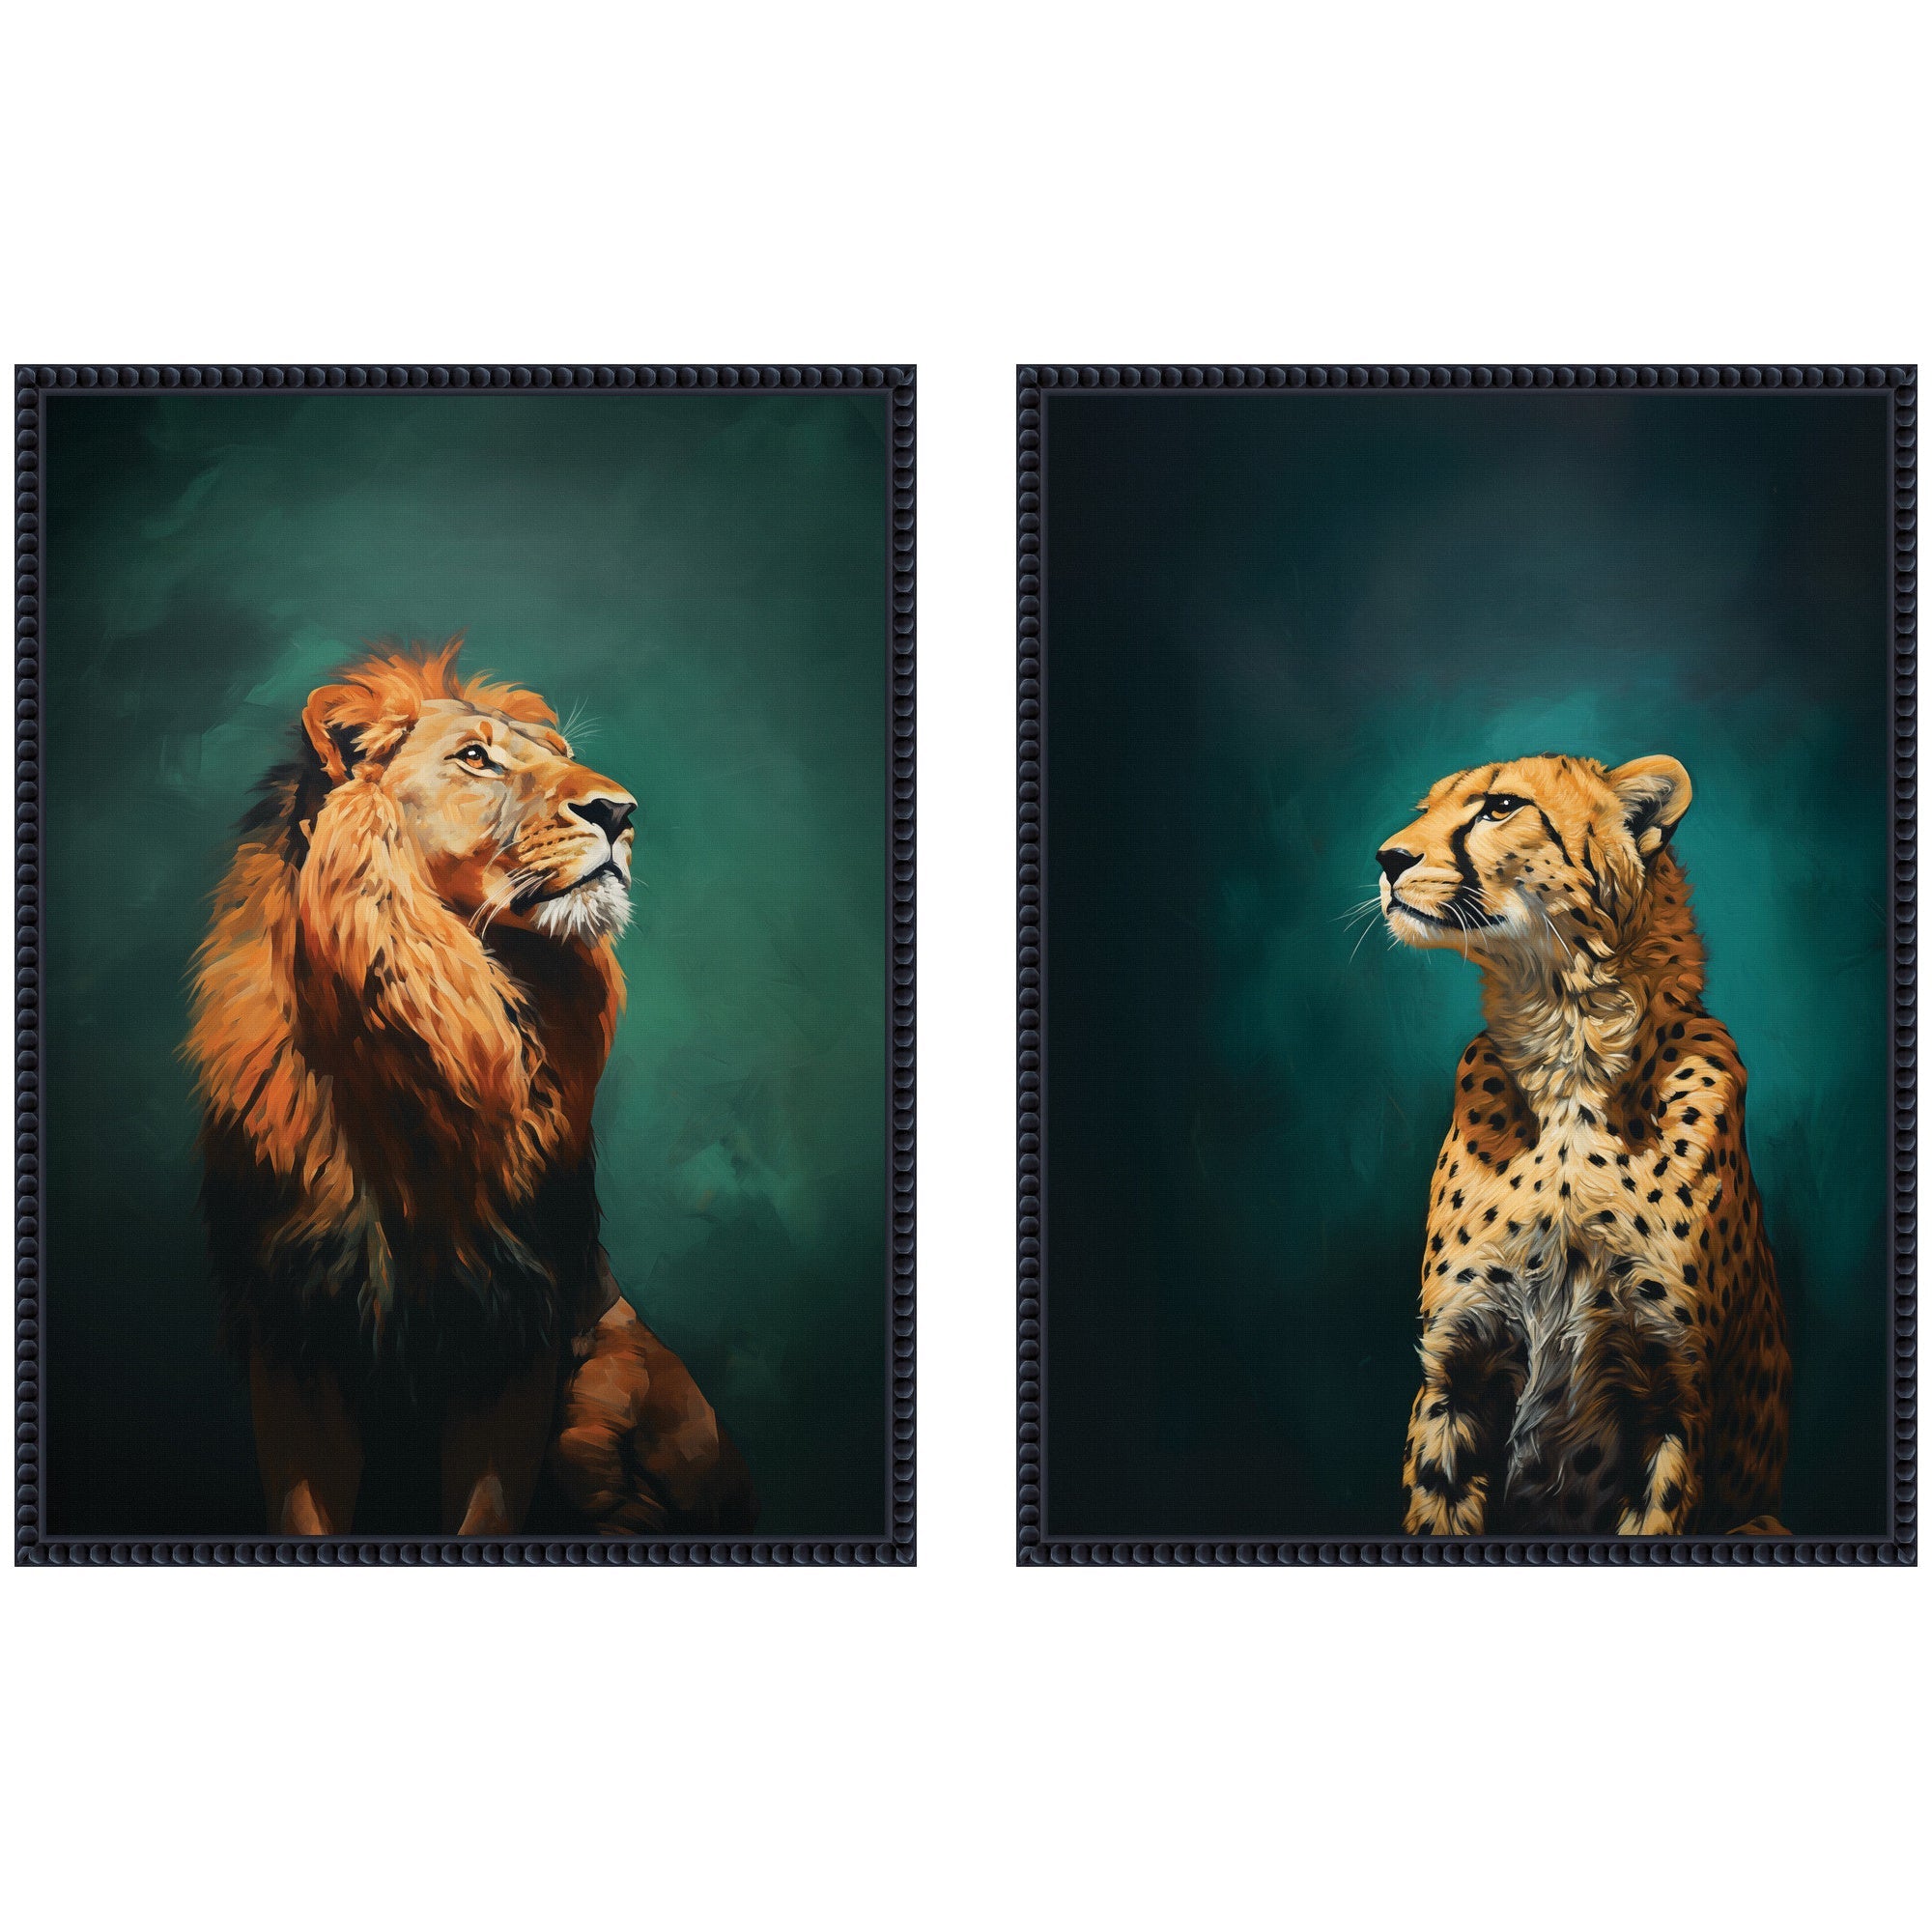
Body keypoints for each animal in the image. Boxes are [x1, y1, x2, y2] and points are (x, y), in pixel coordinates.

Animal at [184, 637, 754, 1536]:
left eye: (556, 755)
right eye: (476, 759)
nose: (622, 812)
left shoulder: (514, 1326)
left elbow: (486, 1514)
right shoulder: (293, 1332)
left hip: (605, 1396)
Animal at [1377, 752, 1791, 1536]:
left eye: (1501, 806)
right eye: (1425, 809)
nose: (1387, 859)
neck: (1569, 1045)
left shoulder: (1675, 1396)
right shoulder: (1456, 1372)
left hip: (1761, 1520)